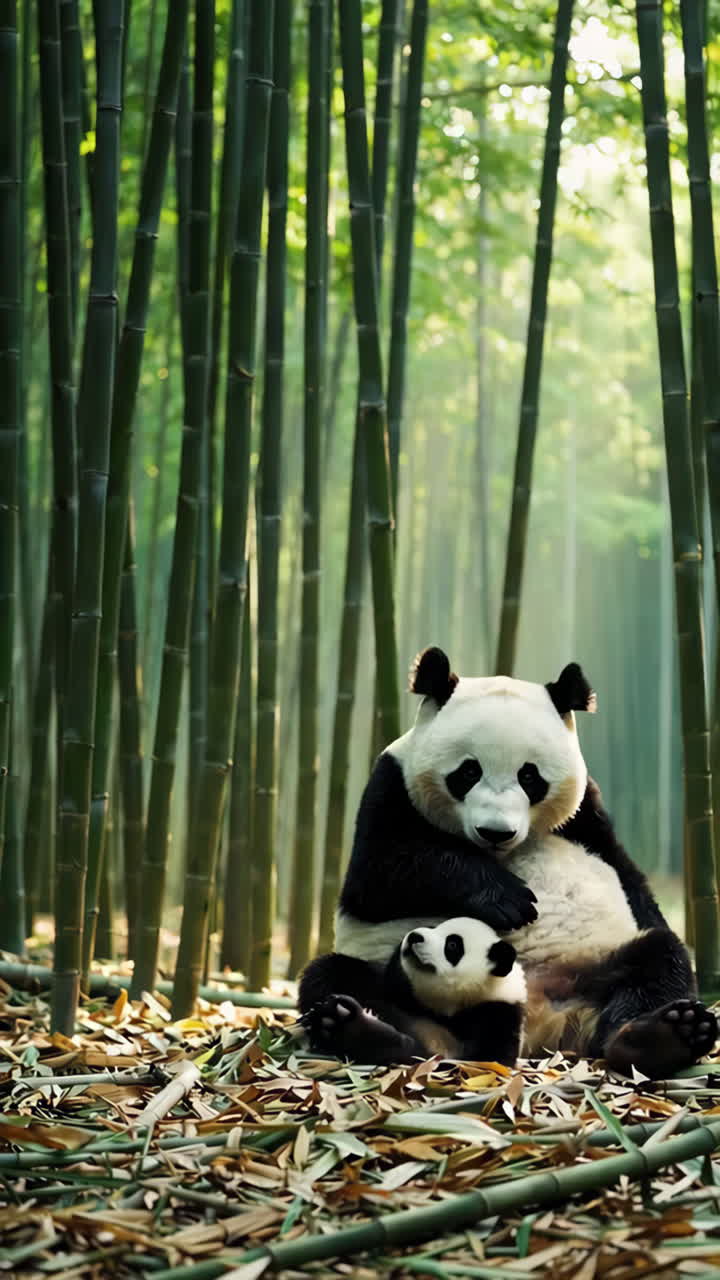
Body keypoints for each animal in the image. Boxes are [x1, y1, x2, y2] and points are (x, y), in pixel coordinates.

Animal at [304, 917, 526, 1066]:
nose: (414, 936)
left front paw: (349, 1028)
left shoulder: (495, 1018)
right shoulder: (392, 987)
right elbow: (334, 971)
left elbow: (453, 1061)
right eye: (433, 927)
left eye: (453, 944)